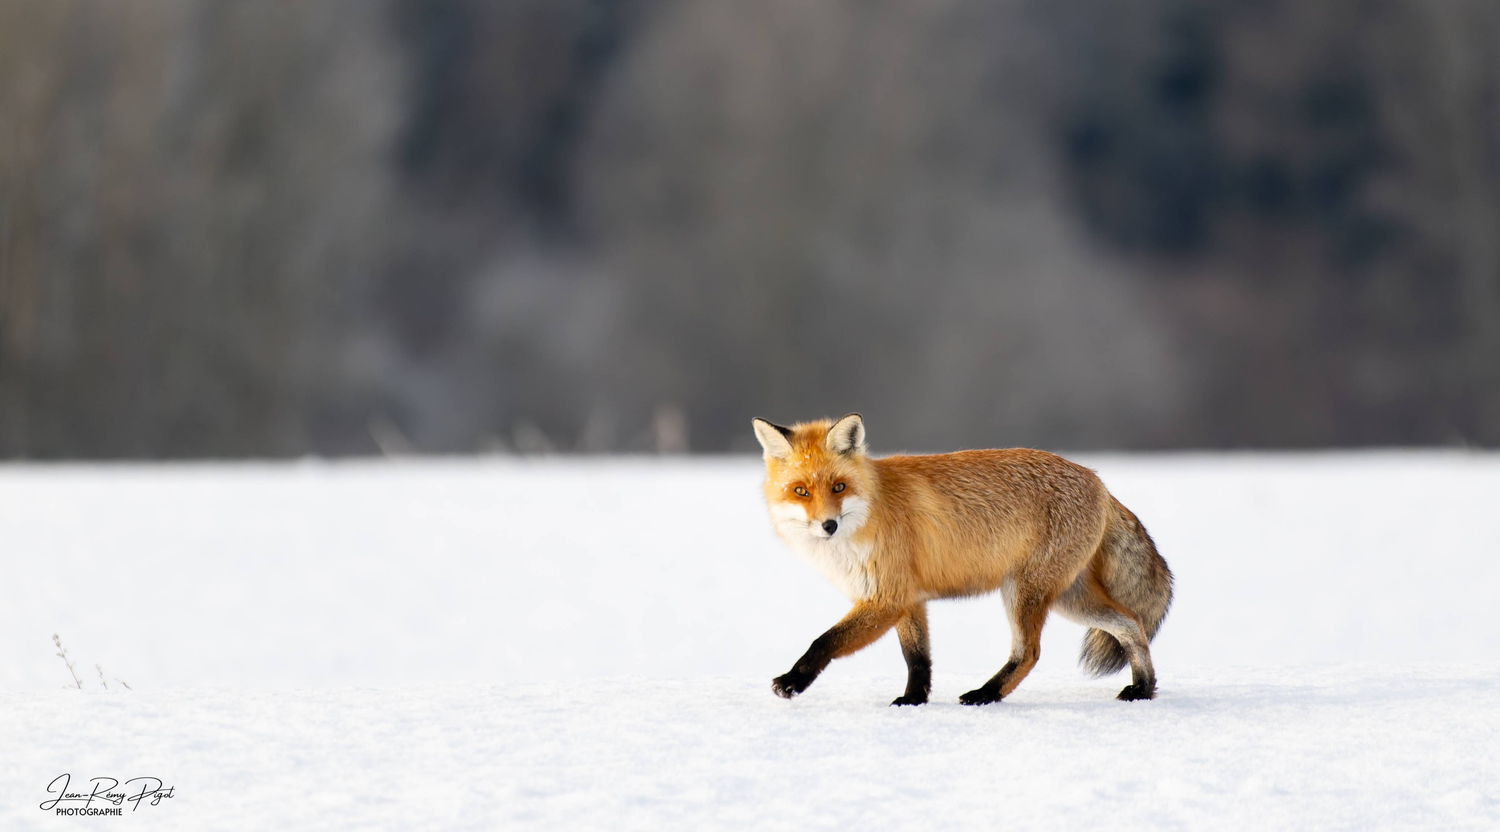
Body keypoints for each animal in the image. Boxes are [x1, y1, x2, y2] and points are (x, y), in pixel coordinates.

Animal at [753, 413, 1173, 706]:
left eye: (839, 487)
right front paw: (913, 700)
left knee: (1030, 653)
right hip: (1069, 598)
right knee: (1131, 623)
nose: (828, 525)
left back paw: (986, 694)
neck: (872, 511)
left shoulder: (886, 598)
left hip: (1024, 592)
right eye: (801, 491)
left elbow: (824, 641)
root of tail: (1098, 479)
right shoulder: (909, 599)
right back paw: (1143, 688)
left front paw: (792, 681)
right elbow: (917, 658)